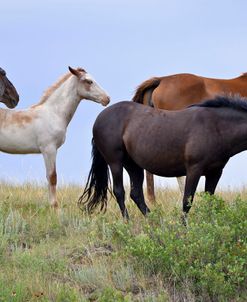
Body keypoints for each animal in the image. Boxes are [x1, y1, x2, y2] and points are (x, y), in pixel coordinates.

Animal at [80, 96, 247, 219]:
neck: (215, 126)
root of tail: (99, 118)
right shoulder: (194, 169)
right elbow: (187, 201)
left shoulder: (215, 172)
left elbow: (210, 202)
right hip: (115, 162)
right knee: (119, 191)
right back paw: (128, 222)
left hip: (134, 165)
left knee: (136, 194)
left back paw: (155, 222)